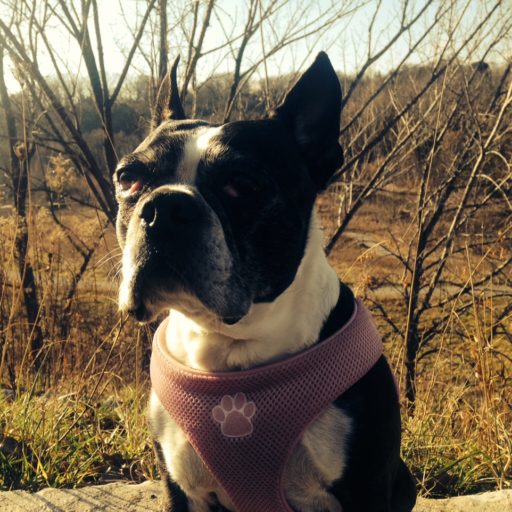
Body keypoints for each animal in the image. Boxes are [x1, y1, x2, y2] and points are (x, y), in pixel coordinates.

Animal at [115, 53, 417, 512]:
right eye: (127, 178)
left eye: (243, 185)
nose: (165, 208)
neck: (229, 345)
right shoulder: (182, 489)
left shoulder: (365, 489)